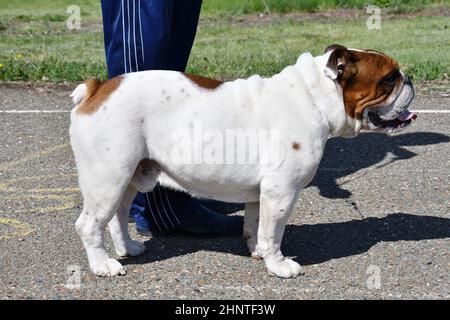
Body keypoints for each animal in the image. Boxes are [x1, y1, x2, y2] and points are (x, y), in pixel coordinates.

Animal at [71, 45, 418, 278]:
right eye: (389, 78)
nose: (410, 79)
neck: (315, 98)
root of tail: (97, 88)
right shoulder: (281, 192)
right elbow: (274, 232)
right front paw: (278, 265)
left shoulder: (261, 193)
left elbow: (256, 225)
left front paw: (257, 251)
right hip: (108, 178)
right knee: (89, 223)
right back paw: (102, 265)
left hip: (130, 175)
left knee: (117, 215)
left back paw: (128, 248)